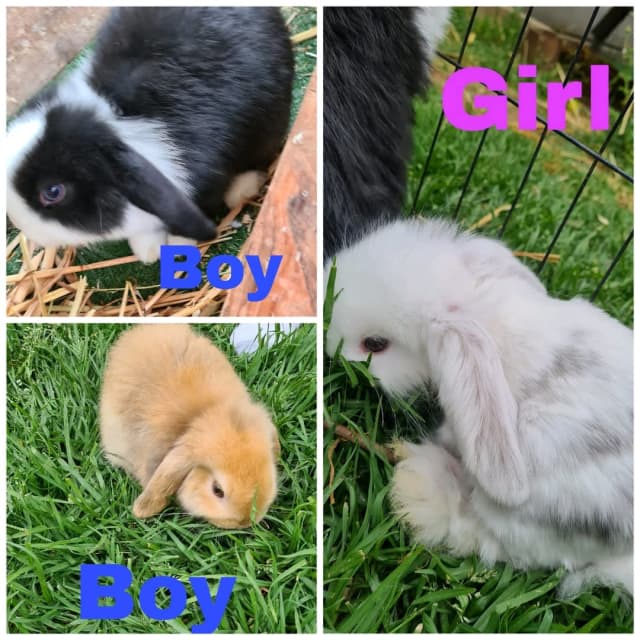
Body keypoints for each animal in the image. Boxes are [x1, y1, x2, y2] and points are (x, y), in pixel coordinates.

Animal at [7, 7, 294, 263]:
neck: (118, 119)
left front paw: (175, 249)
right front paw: (147, 250)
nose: (19, 223)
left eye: (53, 191)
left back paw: (242, 189)